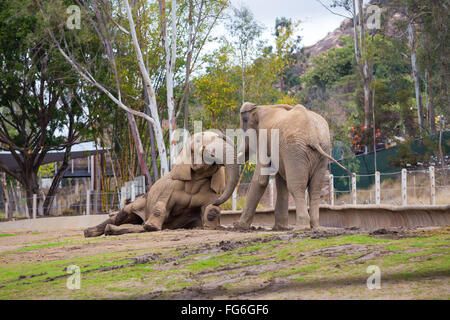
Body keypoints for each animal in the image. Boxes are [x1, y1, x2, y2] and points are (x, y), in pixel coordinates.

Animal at [84, 131, 239, 238]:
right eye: (198, 140)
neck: (196, 180)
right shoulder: (170, 187)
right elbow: (161, 207)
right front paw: (151, 226)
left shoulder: (209, 191)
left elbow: (210, 210)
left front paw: (212, 223)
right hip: (141, 201)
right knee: (121, 215)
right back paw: (90, 232)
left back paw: (114, 229)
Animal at [214, 102, 348, 230]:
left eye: (244, 126)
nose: (215, 203)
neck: (258, 108)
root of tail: (313, 135)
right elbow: (280, 181)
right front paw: (280, 227)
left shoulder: (264, 138)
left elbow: (261, 180)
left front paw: (238, 226)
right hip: (321, 150)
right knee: (314, 189)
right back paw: (315, 226)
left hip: (295, 151)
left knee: (296, 187)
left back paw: (300, 227)